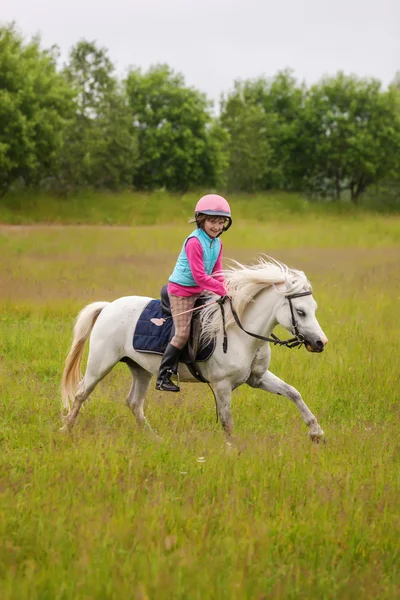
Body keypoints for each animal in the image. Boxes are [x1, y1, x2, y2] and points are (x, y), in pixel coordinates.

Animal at [61, 256, 326, 440]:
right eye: (300, 311)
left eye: (314, 308)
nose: (321, 343)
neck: (241, 333)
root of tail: (108, 306)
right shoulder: (222, 385)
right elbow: (227, 422)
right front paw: (234, 450)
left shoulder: (257, 378)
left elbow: (293, 392)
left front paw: (316, 432)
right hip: (100, 364)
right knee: (82, 393)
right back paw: (66, 429)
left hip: (140, 369)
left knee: (134, 403)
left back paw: (155, 439)